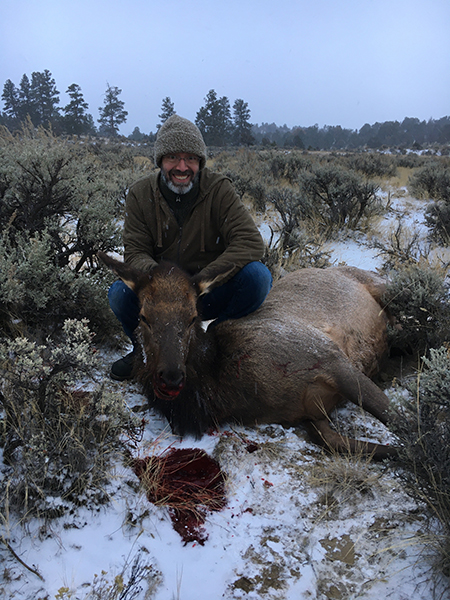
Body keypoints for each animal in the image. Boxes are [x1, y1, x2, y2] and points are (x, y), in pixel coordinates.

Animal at [98, 251, 398, 458]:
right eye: (143, 316)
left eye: (193, 316)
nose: (170, 377)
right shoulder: (311, 414)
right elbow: (337, 442)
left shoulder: (329, 357)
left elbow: (398, 418)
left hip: (383, 287)